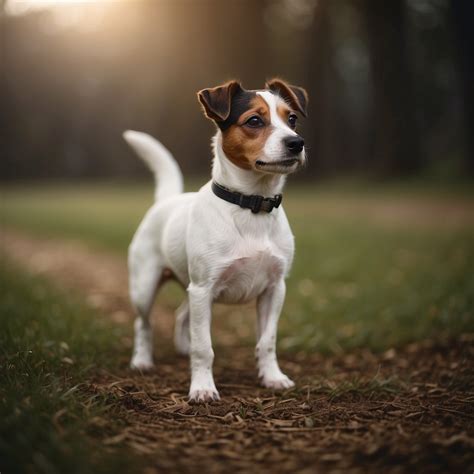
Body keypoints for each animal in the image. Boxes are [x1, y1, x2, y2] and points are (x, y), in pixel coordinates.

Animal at [122, 78, 308, 404]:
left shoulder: (274, 290)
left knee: (181, 314)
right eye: (254, 121)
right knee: (143, 324)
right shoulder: (203, 289)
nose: (296, 142)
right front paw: (202, 387)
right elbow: (204, 347)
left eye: (292, 119)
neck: (251, 205)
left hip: (191, 290)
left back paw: (181, 347)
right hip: (146, 286)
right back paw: (142, 360)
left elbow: (268, 341)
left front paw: (272, 377)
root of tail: (167, 200)